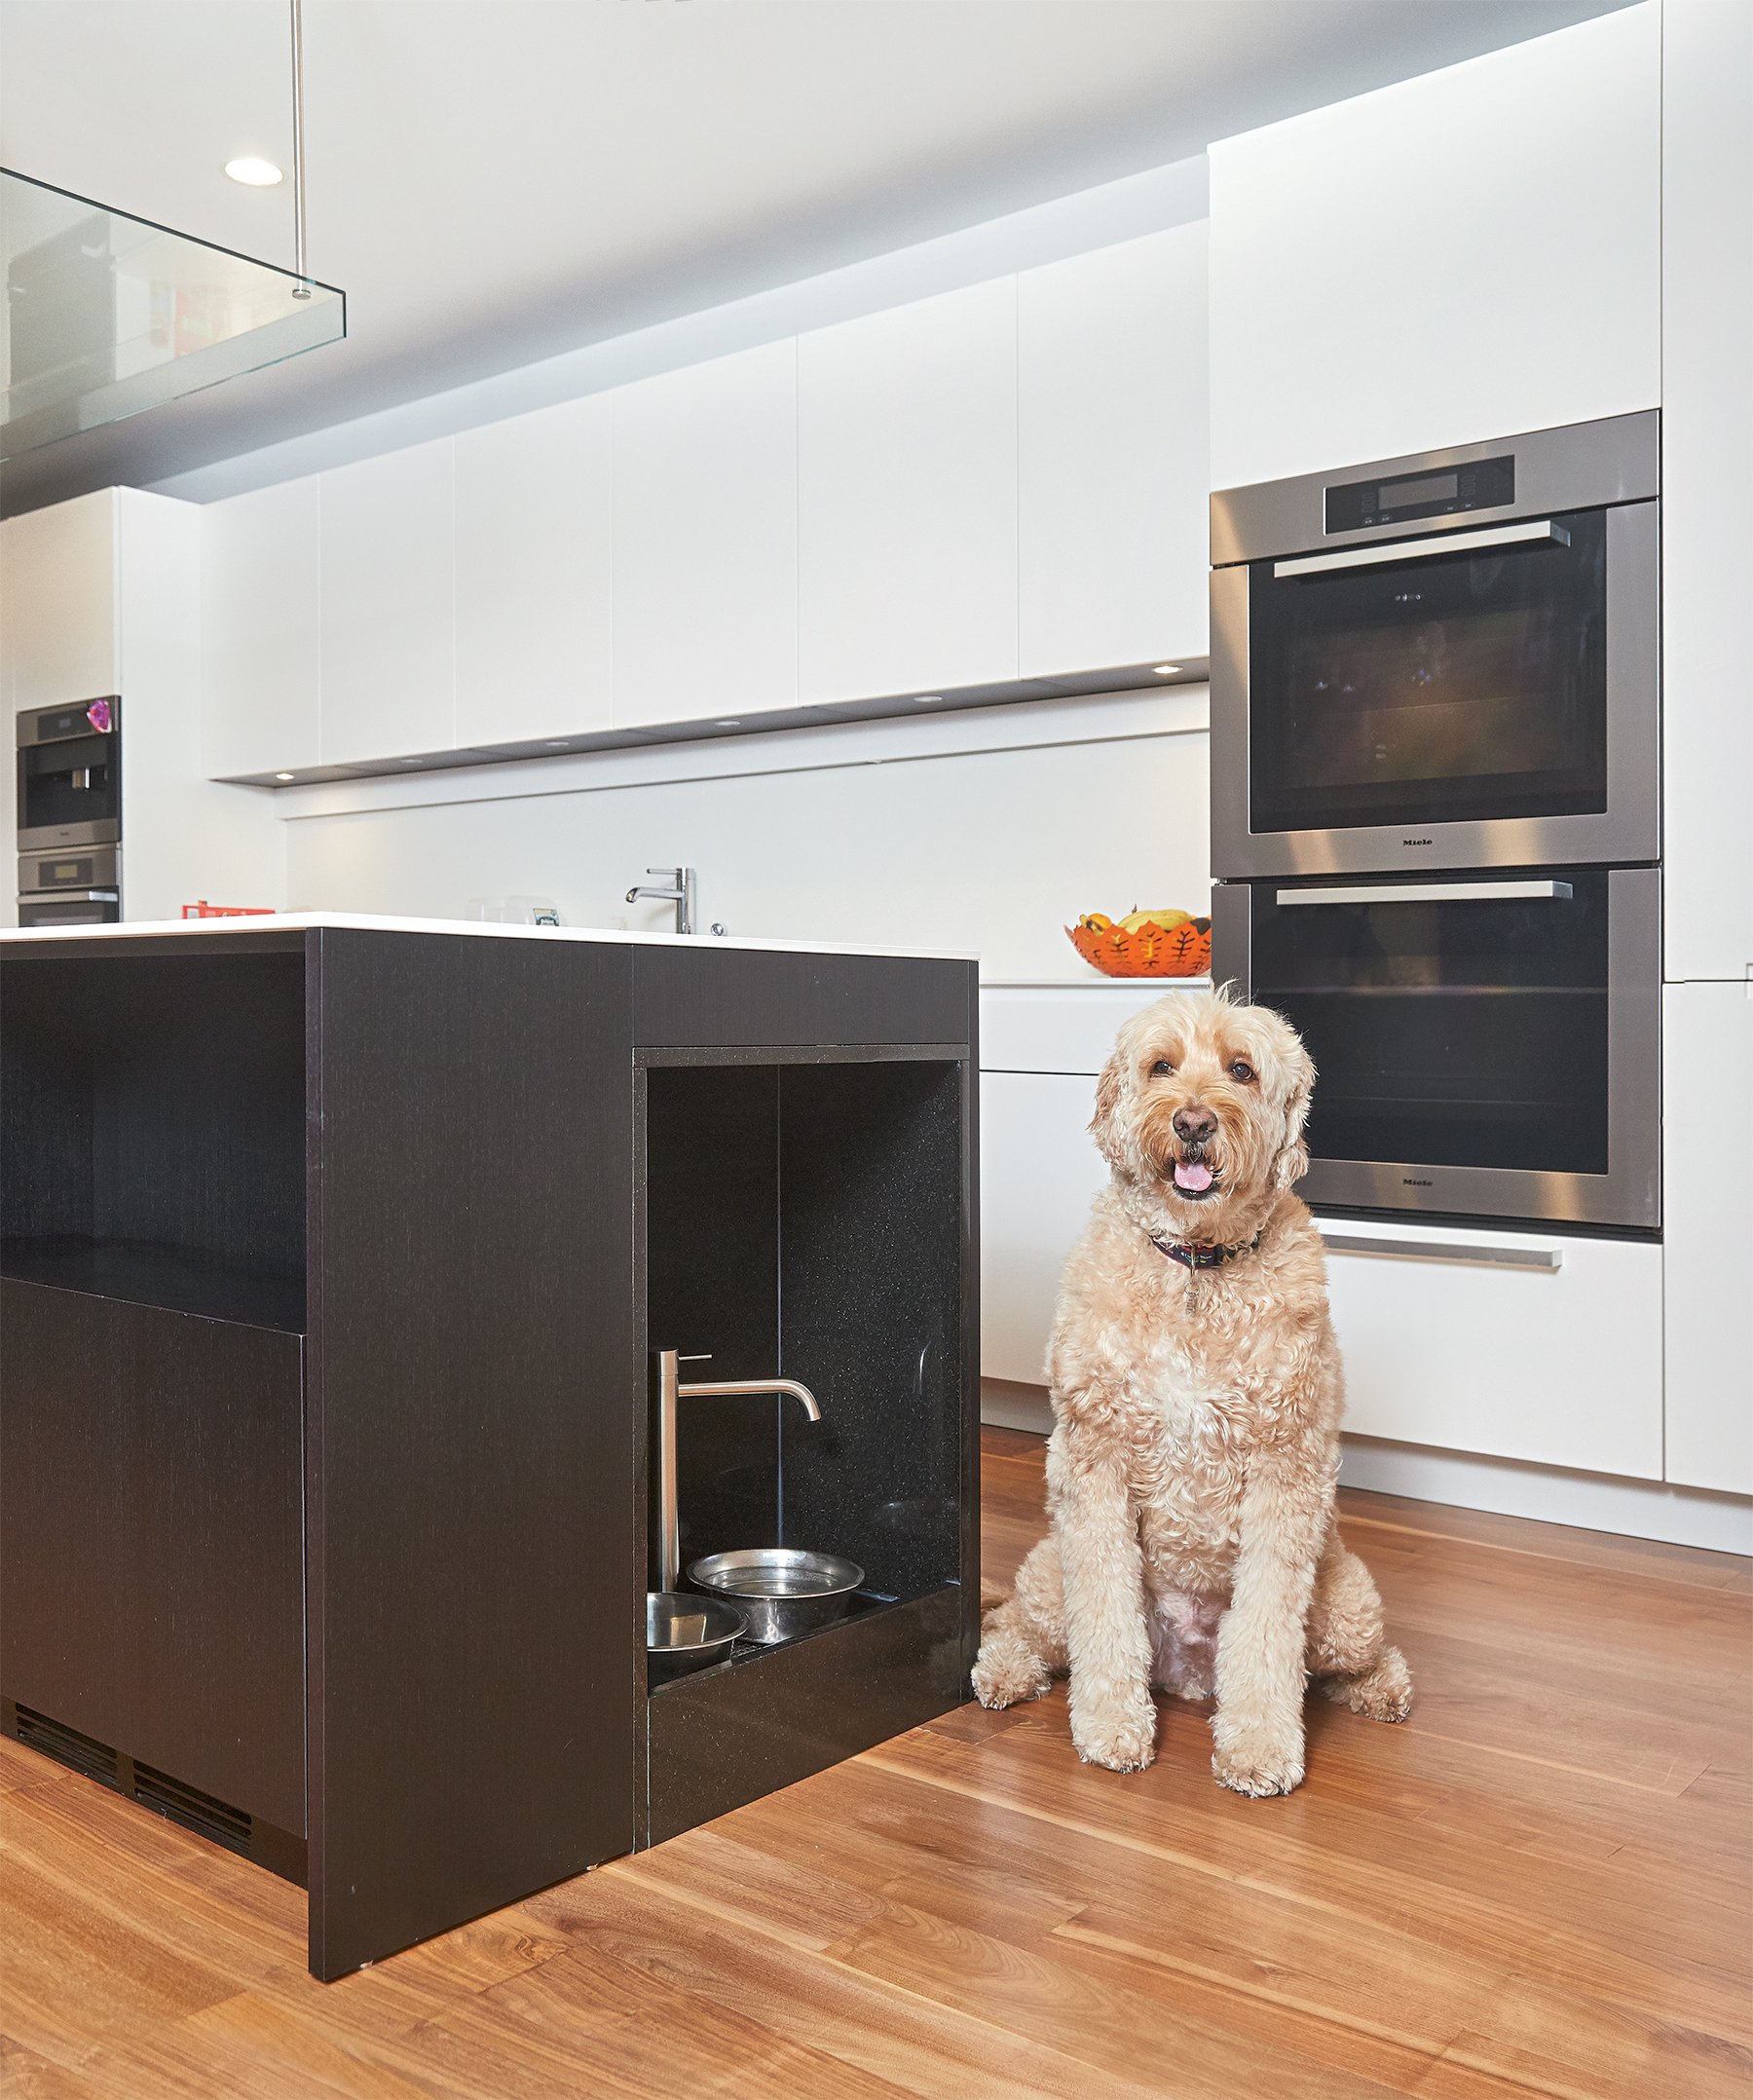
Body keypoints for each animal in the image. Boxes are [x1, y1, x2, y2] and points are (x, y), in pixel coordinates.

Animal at [974, 983, 1410, 1788]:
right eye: (1161, 1067)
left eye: (1241, 1069)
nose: (1194, 1122)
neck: (1196, 1270)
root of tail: (1185, 1676)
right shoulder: (1095, 1463)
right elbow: (1105, 1617)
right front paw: (1111, 1729)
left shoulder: (1285, 1474)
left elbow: (1265, 1630)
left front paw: (1260, 1748)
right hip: (1050, 1577)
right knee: (1021, 1624)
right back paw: (1005, 1672)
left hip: (1347, 1606)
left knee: (1348, 1659)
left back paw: (1383, 1690)